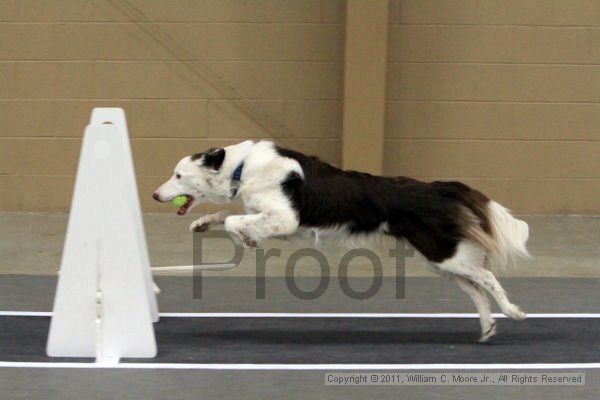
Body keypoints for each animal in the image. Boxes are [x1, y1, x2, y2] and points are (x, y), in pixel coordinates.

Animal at [155, 140, 528, 340]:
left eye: (178, 175)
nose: (156, 195)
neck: (240, 167)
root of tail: (438, 187)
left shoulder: (286, 218)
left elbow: (235, 218)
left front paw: (246, 239)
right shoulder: (271, 215)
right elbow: (231, 212)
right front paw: (204, 223)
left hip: (444, 254)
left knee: (487, 277)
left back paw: (513, 311)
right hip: (439, 261)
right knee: (476, 288)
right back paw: (487, 327)